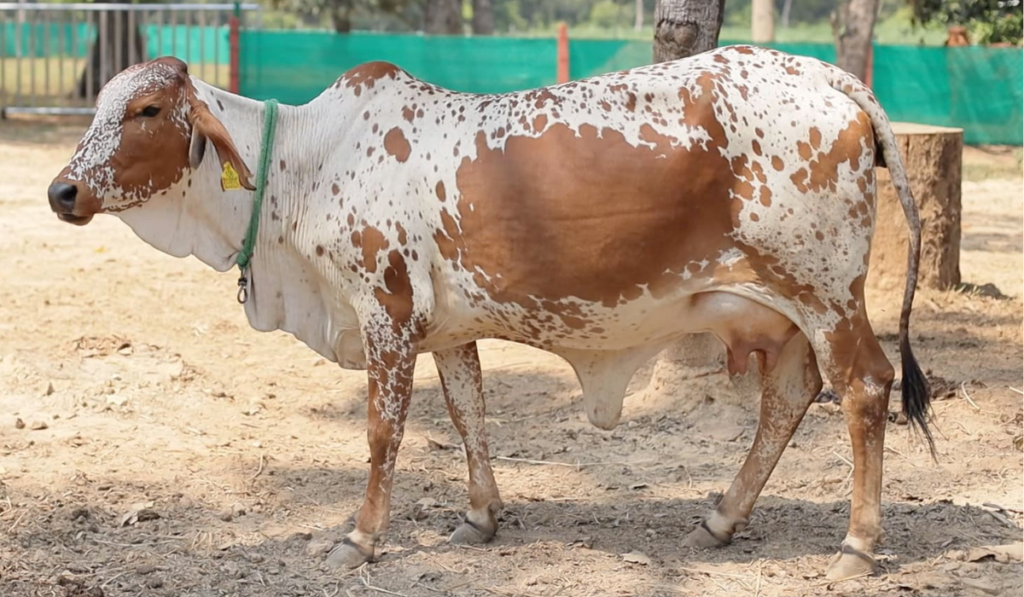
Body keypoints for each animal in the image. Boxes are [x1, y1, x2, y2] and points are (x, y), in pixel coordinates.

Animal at [48, 45, 933, 577]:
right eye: (99, 107)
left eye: (146, 111)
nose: (63, 190)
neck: (308, 162)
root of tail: (827, 76)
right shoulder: (446, 329)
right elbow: (468, 411)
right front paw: (480, 517)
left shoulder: (388, 314)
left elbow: (384, 432)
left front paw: (359, 536)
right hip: (787, 310)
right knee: (788, 398)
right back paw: (720, 518)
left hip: (827, 295)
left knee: (863, 387)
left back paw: (857, 545)